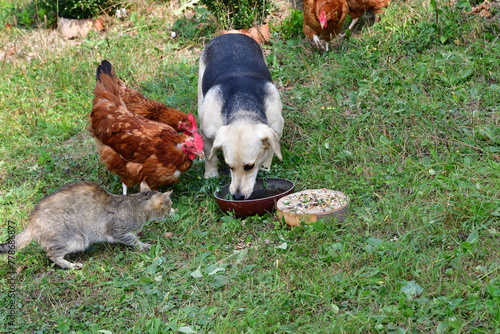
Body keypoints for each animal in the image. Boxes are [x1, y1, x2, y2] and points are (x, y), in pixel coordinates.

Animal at [0, 180, 172, 268]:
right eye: (169, 204)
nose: (171, 211)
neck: (135, 205)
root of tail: (31, 221)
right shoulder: (115, 230)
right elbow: (132, 240)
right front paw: (143, 245)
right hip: (74, 239)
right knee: (51, 255)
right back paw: (71, 265)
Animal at [198, 34, 286, 200]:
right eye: (229, 166)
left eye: (249, 167)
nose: (237, 197)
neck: (243, 109)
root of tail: (230, 34)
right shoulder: (207, 134)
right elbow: (210, 156)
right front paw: (211, 175)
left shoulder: (275, 130)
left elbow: (270, 152)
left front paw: (265, 168)